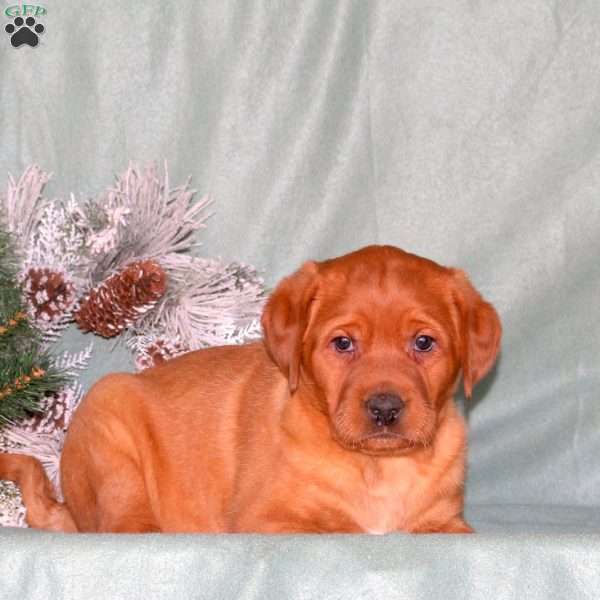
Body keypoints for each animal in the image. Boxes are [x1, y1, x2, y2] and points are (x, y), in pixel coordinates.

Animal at [0, 246, 500, 532]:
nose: (384, 408)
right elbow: (340, 528)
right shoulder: (269, 519)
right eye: (343, 344)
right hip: (111, 434)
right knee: (123, 526)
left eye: (423, 343)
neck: (378, 468)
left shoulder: (448, 526)